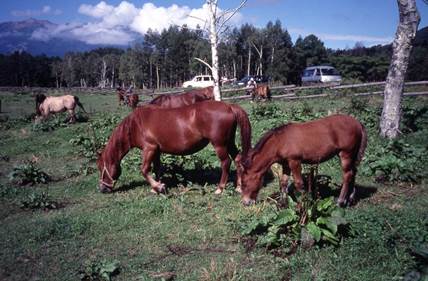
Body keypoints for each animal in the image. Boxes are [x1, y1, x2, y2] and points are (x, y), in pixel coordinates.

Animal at [97, 100, 251, 195]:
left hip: (220, 144)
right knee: (237, 159)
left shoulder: (149, 149)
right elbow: (157, 169)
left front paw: (158, 187)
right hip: (229, 142)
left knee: (226, 162)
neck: (136, 124)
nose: (103, 189)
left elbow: (144, 170)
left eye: (101, 168)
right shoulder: (156, 151)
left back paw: (220, 189)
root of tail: (229, 106)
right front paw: (156, 188)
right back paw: (238, 187)